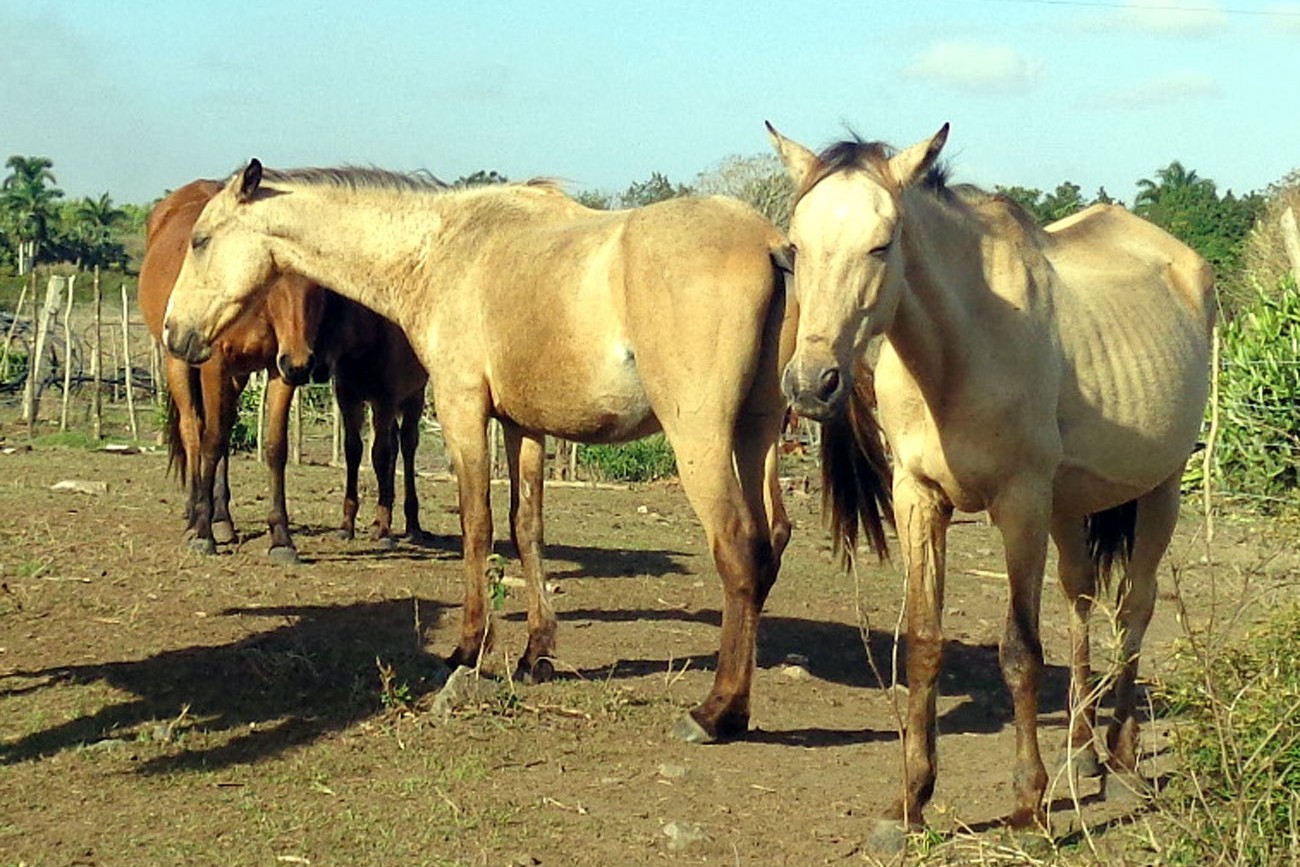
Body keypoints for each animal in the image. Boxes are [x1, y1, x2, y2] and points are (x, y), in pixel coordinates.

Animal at [138, 180, 328, 563]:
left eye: (319, 287)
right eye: (277, 280)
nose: (301, 363)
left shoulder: (277, 371)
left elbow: (274, 448)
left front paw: (281, 538)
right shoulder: (215, 365)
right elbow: (210, 441)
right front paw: (202, 533)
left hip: (238, 376)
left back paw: (221, 517)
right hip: (178, 361)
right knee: (193, 431)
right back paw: (195, 513)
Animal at [315, 291, 429, 547]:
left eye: (339, 312)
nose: (316, 368)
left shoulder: (385, 400)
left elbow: (380, 455)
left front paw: (385, 530)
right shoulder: (348, 397)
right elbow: (353, 450)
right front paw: (347, 525)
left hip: (414, 396)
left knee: (407, 445)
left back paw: (412, 525)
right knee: (394, 444)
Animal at [767, 122, 1213, 846]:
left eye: (881, 244)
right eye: (796, 246)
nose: (812, 383)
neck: (960, 351)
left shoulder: (1020, 505)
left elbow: (1020, 652)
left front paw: (1029, 809)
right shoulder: (919, 499)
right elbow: (925, 644)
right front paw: (909, 802)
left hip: (1161, 489)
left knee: (1133, 610)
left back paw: (1120, 762)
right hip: (1070, 506)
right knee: (1081, 602)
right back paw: (1083, 752)